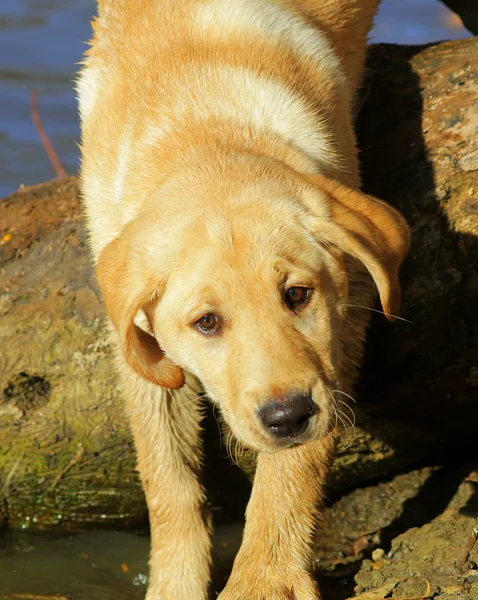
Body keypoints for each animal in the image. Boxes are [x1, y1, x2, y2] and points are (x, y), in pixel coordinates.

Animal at [76, 2, 408, 596]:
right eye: (207, 323)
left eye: (297, 295)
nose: (287, 416)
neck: (203, 125)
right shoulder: (135, 338)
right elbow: (167, 478)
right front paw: (175, 583)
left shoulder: (342, 325)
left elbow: (293, 471)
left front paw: (264, 578)